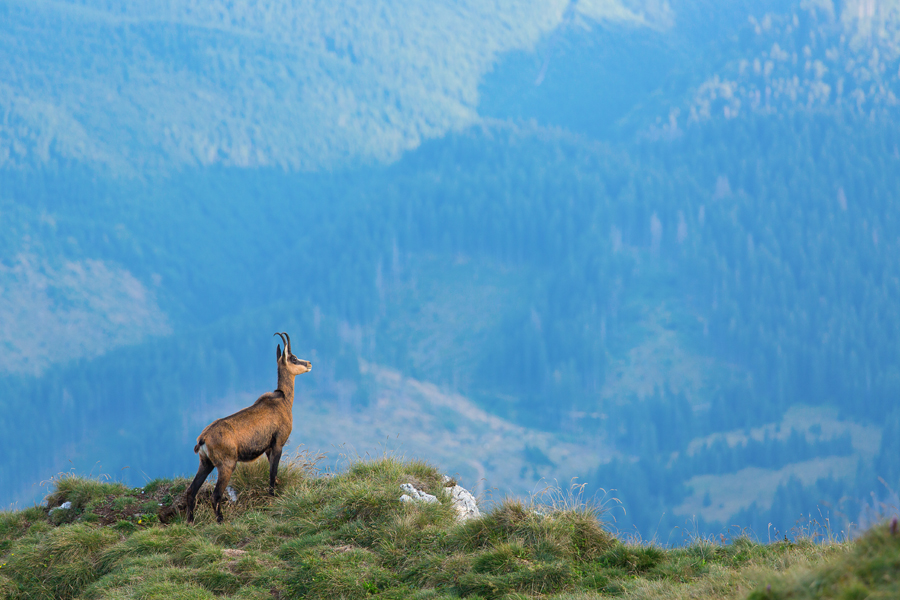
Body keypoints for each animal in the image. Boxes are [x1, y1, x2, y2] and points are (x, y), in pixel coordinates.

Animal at [184, 332, 311, 523]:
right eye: (294, 358)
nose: (309, 363)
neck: (283, 400)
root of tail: (203, 439)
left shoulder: (268, 448)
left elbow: (272, 472)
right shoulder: (278, 443)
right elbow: (272, 473)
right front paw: (273, 497)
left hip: (205, 463)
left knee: (192, 491)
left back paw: (191, 521)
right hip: (226, 465)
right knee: (215, 495)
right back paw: (220, 521)